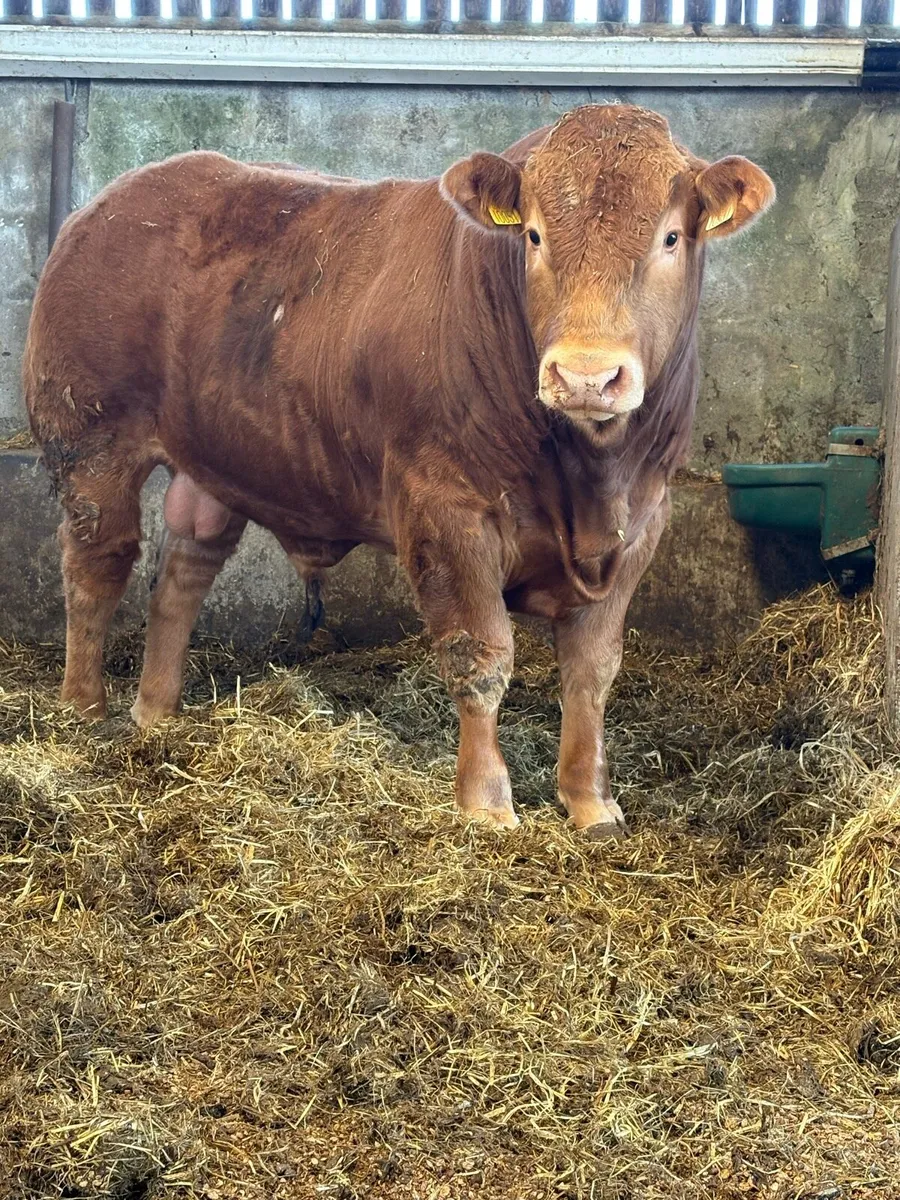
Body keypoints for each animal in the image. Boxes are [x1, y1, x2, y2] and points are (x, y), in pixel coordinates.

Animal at [24, 104, 774, 836]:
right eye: (532, 236)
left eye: (671, 238)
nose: (587, 376)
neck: (589, 475)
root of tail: (111, 201)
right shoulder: (445, 509)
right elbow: (480, 656)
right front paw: (486, 802)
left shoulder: (643, 520)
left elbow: (591, 670)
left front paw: (591, 802)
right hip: (91, 442)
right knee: (97, 567)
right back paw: (84, 708)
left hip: (214, 460)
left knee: (182, 573)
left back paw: (157, 712)